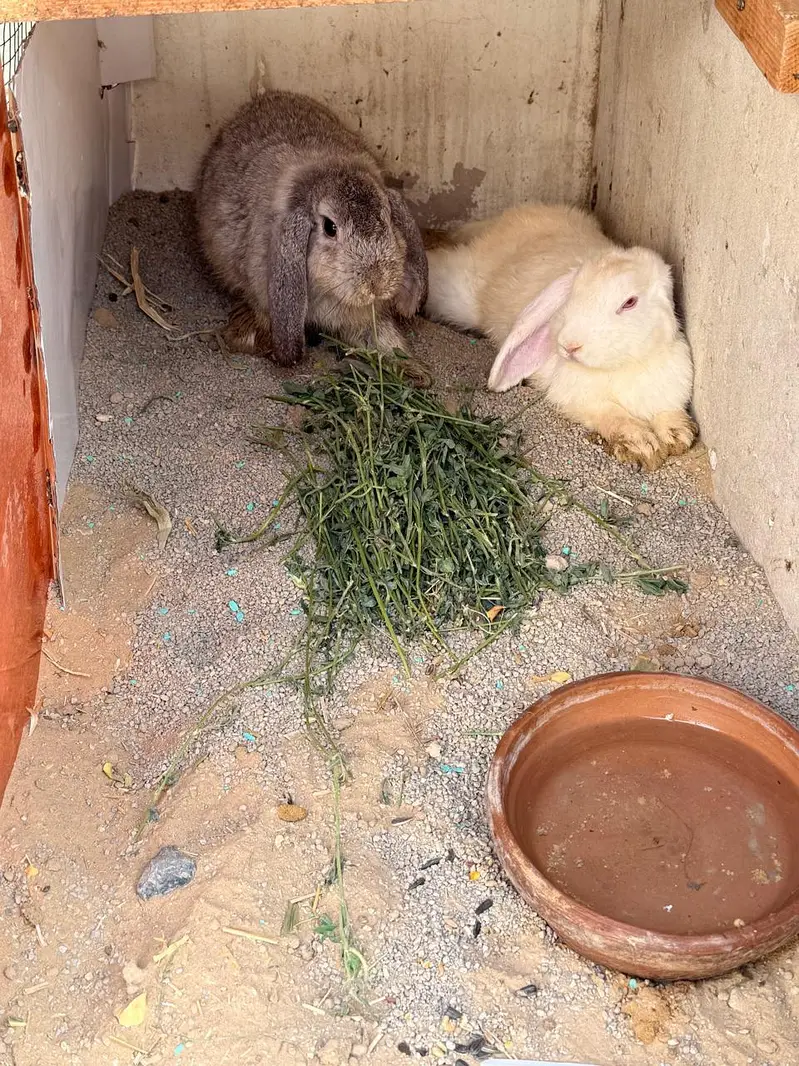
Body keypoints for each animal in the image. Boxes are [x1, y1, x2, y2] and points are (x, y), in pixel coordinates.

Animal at [424, 204, 696, 470]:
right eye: (573, 294)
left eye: (629, 302)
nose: (569, 345)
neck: (626, 365)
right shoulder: (582, 398)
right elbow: (614, 415)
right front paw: (643, 445)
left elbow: (667, 412)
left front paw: (677, 436)